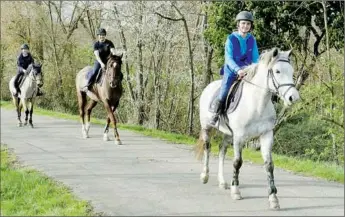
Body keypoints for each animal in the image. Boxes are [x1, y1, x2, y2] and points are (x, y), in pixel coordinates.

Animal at [195, 48, 300, 210]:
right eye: (277, 71)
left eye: (291, 70)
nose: (293, 97)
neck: (257, 104)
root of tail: (209, 86)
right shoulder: (239, 137)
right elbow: (237, 162)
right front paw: (236, 191)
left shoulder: (266, 135)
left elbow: (269, 165)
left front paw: (273, 198)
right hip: (207, 127)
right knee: (208, 147)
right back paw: (205, 176)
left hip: (228, 134)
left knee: (221, 150)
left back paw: (222, 182)